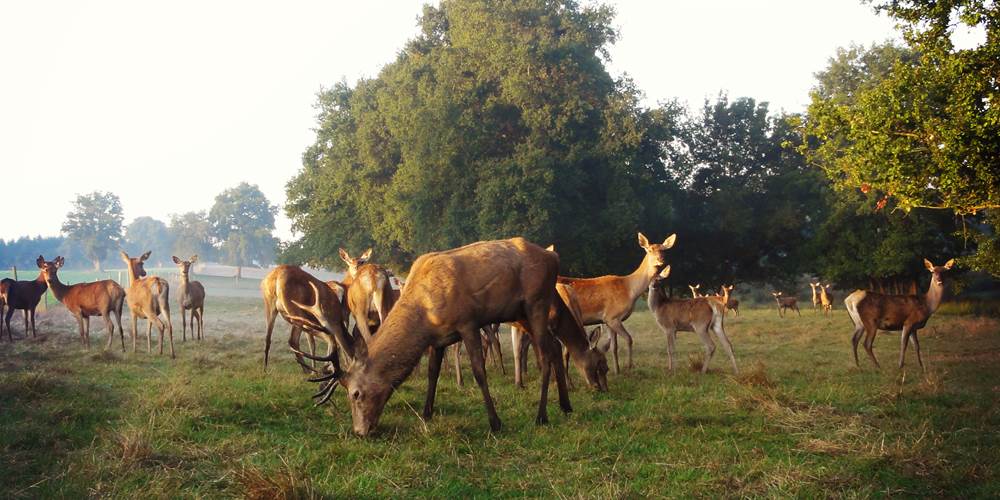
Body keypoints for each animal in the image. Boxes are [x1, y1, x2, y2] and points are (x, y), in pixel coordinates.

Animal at [295, 238, 572, 436]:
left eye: (356, 393)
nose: (359, 432)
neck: (425, 315)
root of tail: (553, 256)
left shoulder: (468, 323)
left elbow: (479, 372)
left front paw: (495, 422)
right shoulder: (438, 338)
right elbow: (432, 373)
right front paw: (426, 413)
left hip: (537, 302)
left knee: (546, 354)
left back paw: (542, 415)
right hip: (521, 312)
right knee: (554, 347)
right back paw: (565, 406)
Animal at [556, 232, 677, 373]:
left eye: (663, 250)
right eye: (650, 249)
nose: (661, 260)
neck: (629, 290)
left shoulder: (606, 320)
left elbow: (614, 347)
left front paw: (617, 371)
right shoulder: (613, 316)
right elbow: (629, 339)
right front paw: (629, 366)